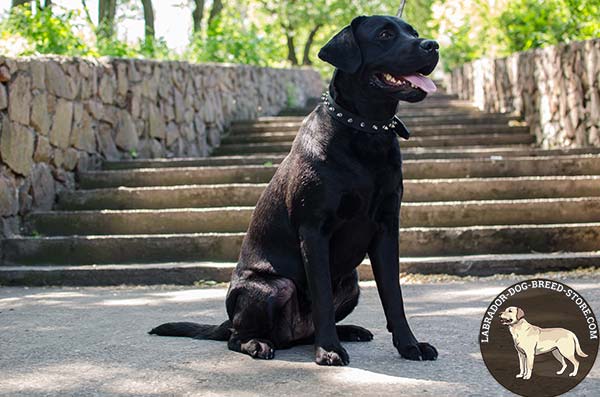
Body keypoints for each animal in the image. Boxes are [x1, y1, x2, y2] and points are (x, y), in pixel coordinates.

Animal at [150, 14, 440, 366]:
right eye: (385, 35)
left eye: (413, 32)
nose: (433, 45)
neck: (365, 131)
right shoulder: (314, 230)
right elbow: (322, 297)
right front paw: (329, 350)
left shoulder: (386, 228)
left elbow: (394, 296)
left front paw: (410, 345)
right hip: (274, 287)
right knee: (236, 337)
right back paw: (258, 343)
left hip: (352, 282)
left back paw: (350, 331)